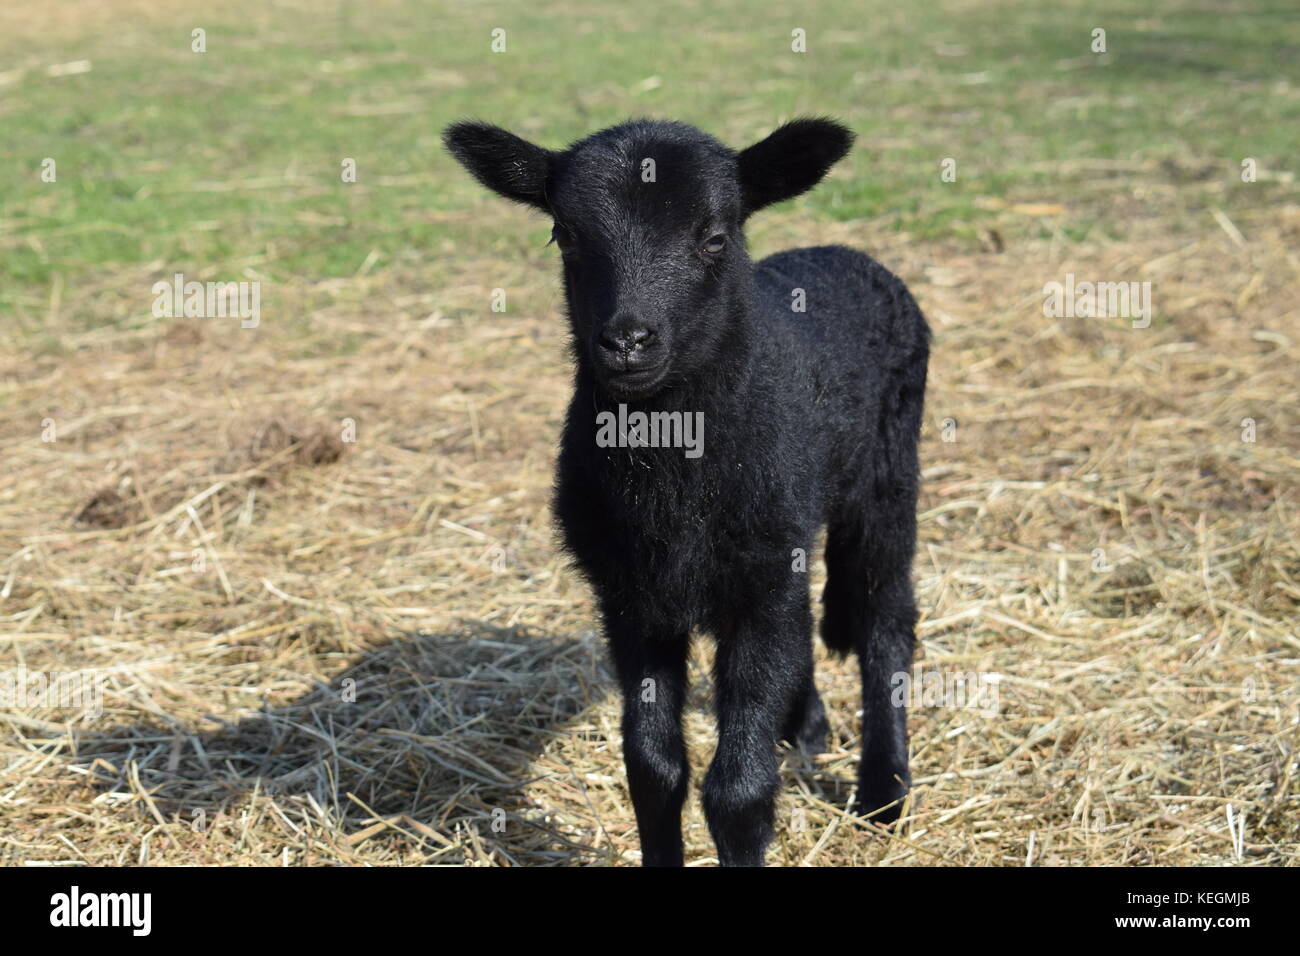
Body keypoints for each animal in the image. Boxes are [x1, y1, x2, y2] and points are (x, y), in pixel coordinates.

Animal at [444, 117, 931, 866]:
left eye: (715, 238)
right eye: (565, 235)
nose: (626, 341)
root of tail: (843, 252)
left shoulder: (757, 585)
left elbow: (739, 790)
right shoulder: (631, 598)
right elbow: (652, 768)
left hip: (887, 475)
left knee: (886, 618)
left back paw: (883, 794)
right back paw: (806, 725)